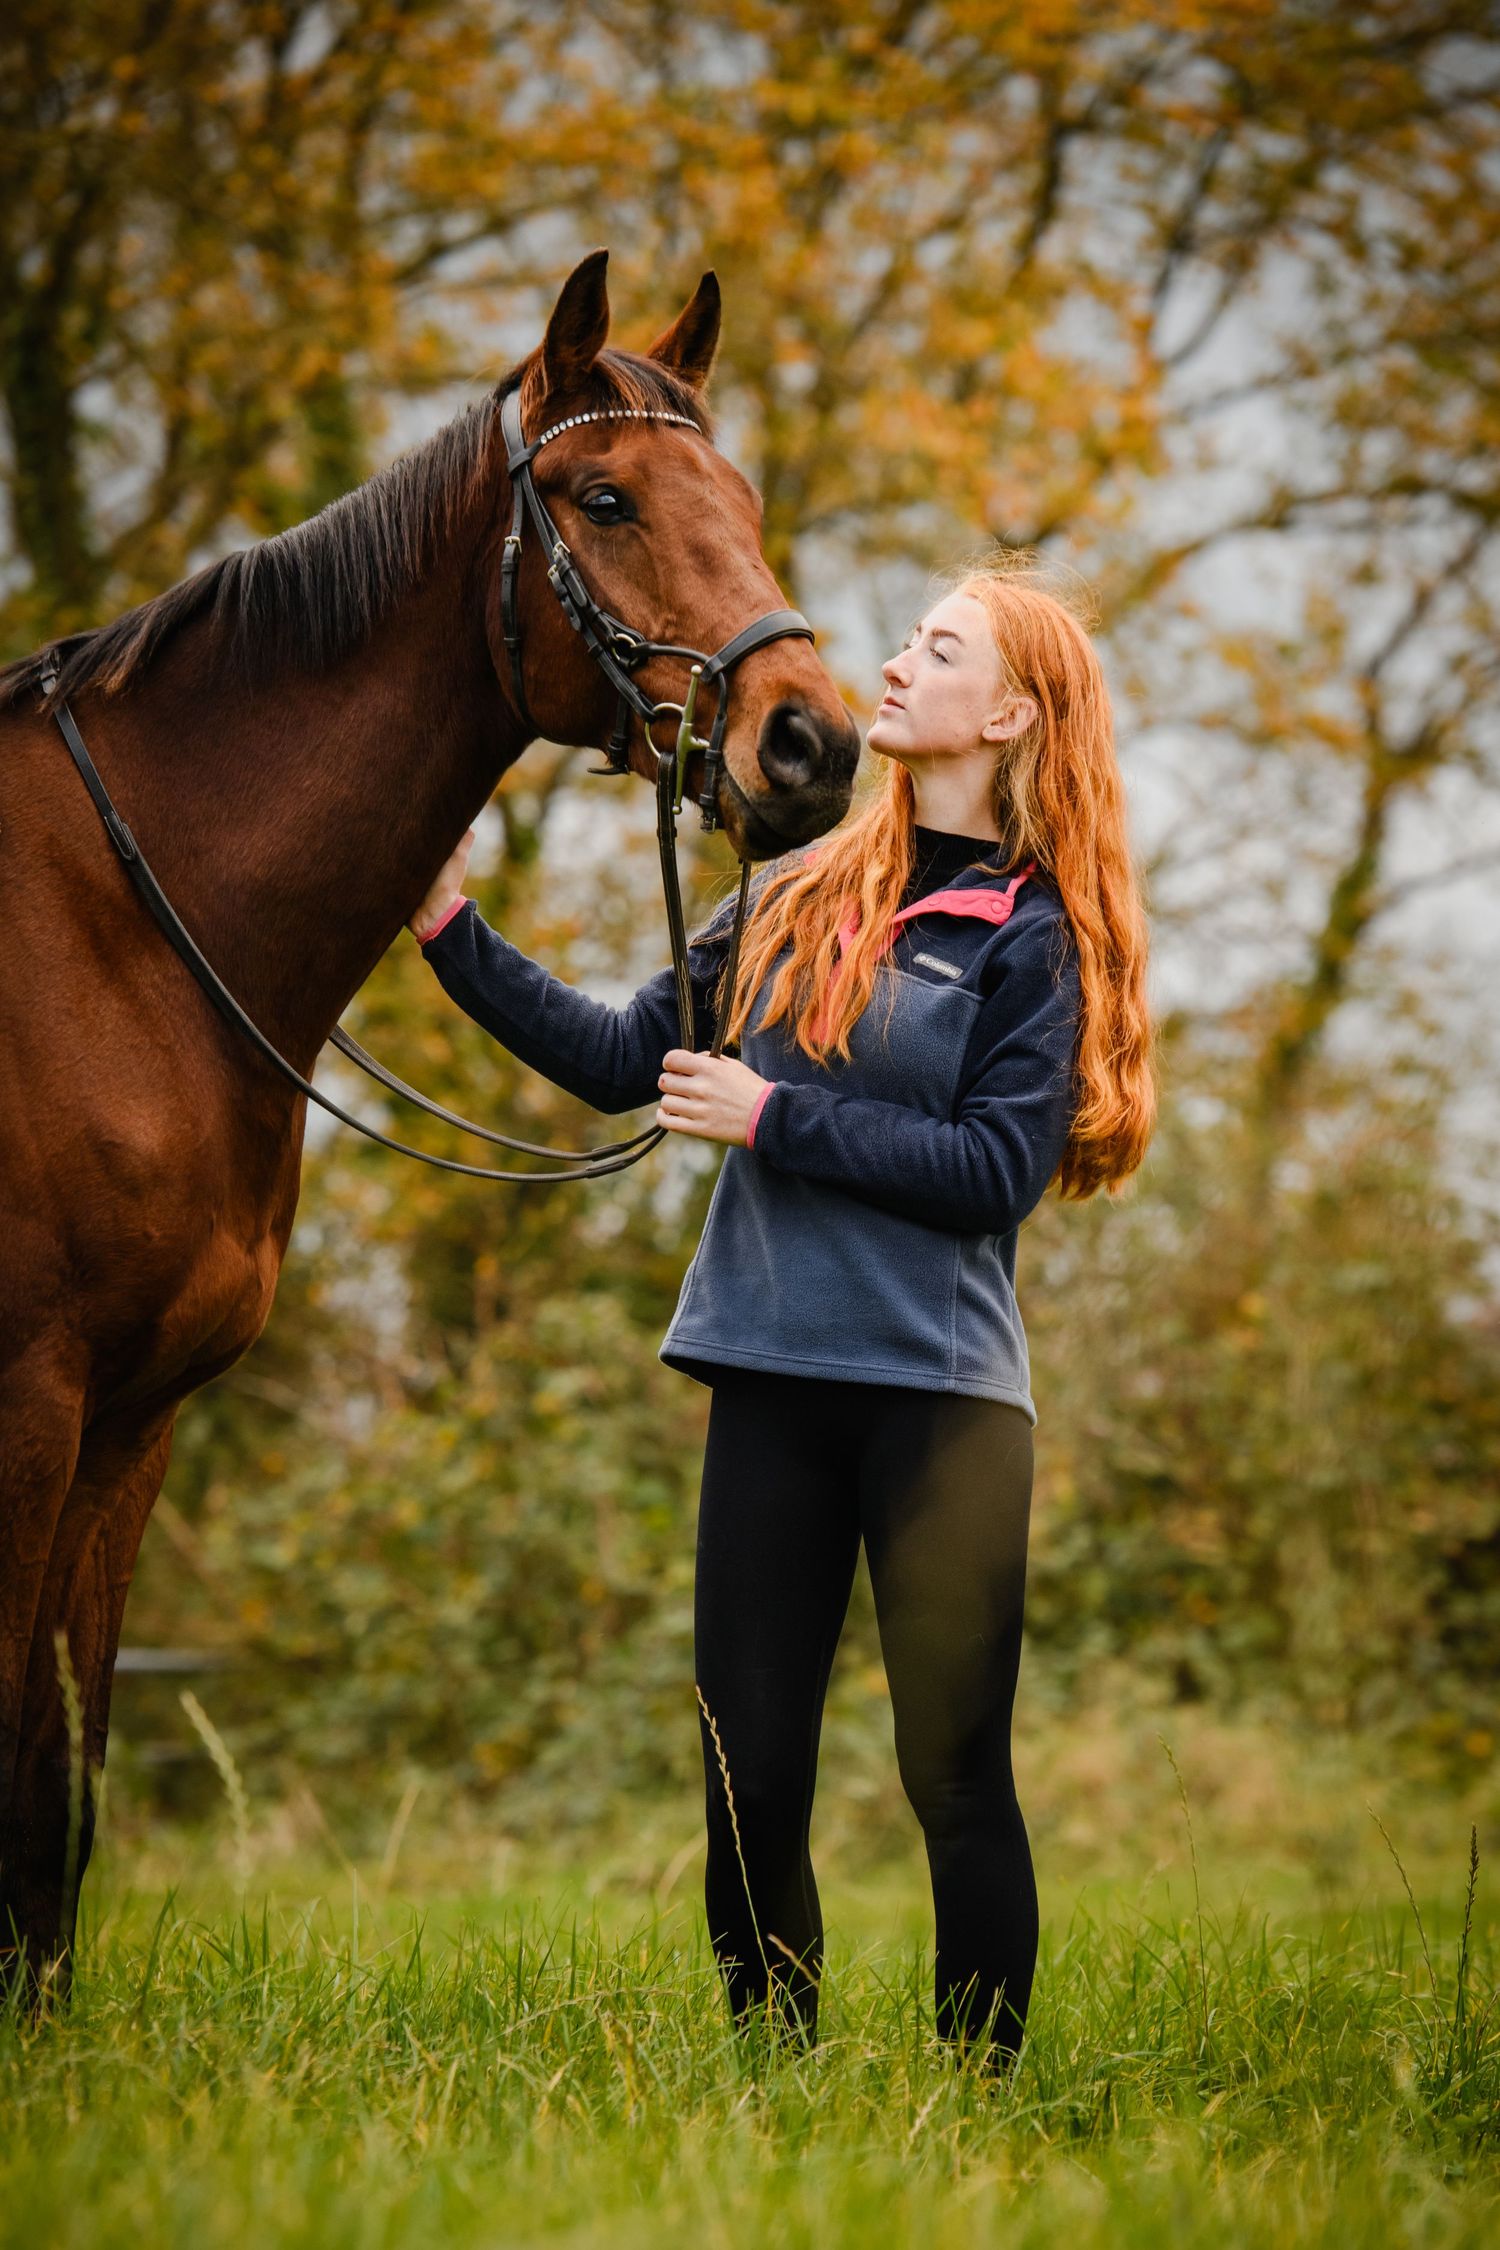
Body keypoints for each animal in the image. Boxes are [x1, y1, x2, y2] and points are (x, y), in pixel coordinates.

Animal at [0, 248, 861, 1992]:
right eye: (603, 497)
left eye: (741, 496)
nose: (811, 744)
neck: (119, 926)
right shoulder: (26, 1398)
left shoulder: (127, 1424)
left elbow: (61, 1785)